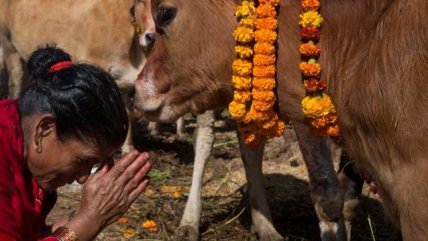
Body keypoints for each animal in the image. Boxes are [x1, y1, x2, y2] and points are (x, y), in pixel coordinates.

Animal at [135, 0, 428, 241]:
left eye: (165, 13)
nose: (136, 90)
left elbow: (346, 199)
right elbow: (328, 197)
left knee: (250, 149)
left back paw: (264, 226)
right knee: (205, 141)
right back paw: (190, 222)